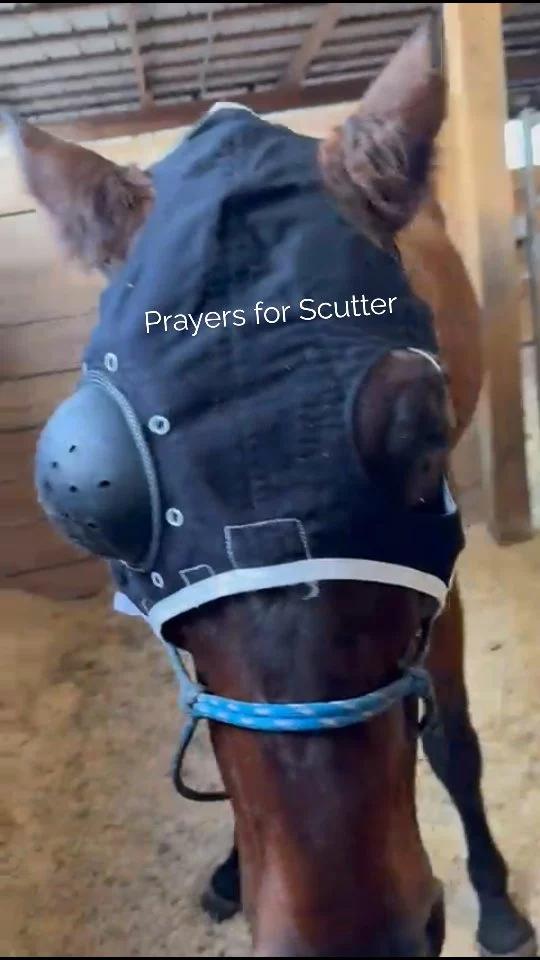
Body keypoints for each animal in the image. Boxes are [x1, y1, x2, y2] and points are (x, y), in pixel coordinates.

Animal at [4, 20, 537, 958]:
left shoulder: (441, 569)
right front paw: (230, 869)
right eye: (86, 494)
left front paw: (498, 904)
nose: (356, 939)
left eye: (428, 431)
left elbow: (453, 742)